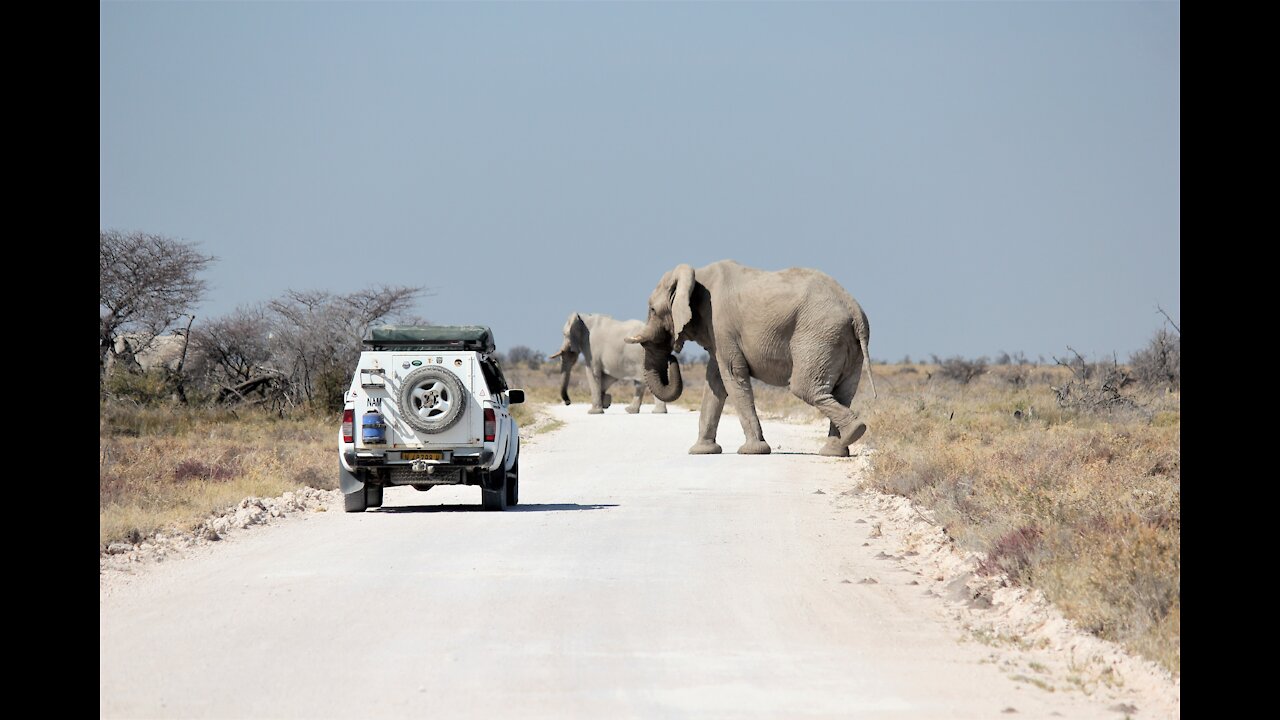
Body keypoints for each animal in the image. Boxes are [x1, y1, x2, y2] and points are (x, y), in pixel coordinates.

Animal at [624, 258, 875, 453]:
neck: (697, 275)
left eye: (653, 310)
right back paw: (837, 448)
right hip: (844, 343)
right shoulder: (718, 333)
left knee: (805, 388)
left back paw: (854, 431)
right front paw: (701, 451)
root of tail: (855, 310)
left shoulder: (720, 324)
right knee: (842, 392)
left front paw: (753, 451)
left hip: (819, 335)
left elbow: (732, 375)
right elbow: (715, 381)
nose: (672, 358)